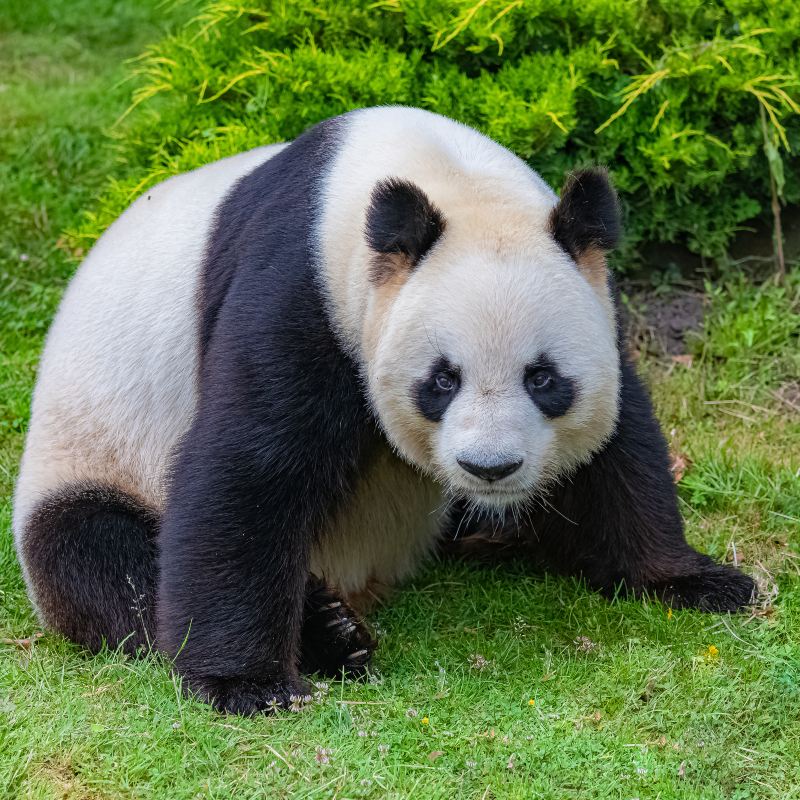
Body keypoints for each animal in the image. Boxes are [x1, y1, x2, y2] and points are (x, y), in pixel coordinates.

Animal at [10, 104, 756, 712]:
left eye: (543, 378)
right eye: (442, 380)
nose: (490, 469)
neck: (439, 174)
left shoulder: (597, 303)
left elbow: (617, 448)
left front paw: (694, 580)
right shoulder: (301, 287)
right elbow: (248, 464)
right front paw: (246, 685)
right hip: (89, 454)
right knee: (103, 557)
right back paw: (332, 634)